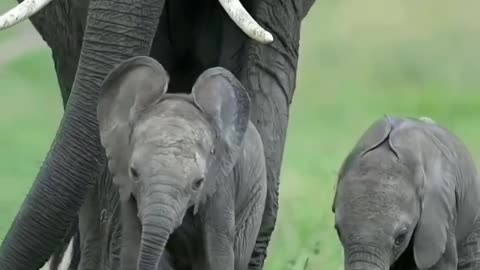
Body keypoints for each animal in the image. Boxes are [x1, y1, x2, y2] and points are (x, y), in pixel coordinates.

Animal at [95, 56, 268, 270]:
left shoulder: (221, 185)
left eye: (198, 183)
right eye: (133, 173)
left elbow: (218, 251)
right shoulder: (128, 192)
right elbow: (131, 248)